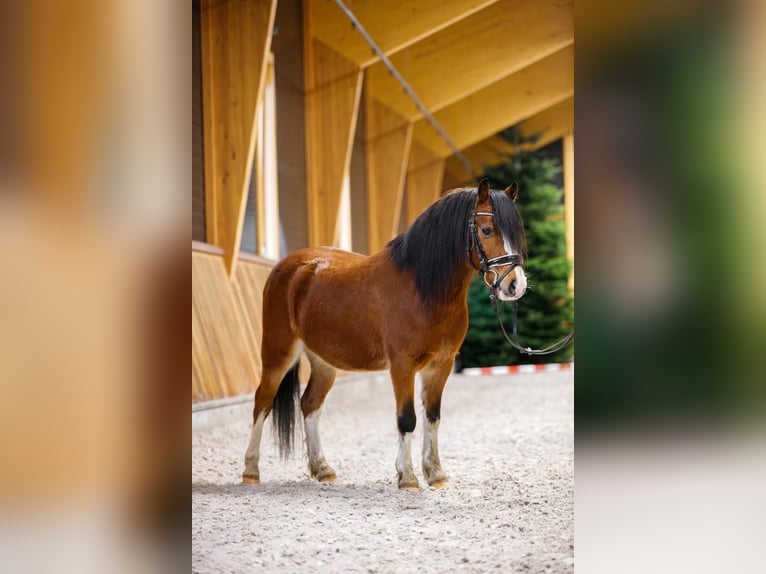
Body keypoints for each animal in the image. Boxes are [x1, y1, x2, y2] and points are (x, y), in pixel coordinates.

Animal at [244, 180, 528, 490]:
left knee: (310, 404)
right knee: (262, 401)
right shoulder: (402, 366)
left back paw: (323, 469)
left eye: (518, 231)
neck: (424, 290)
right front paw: (408, 478)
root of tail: (287, 267)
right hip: (278, 352)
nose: (516, 285)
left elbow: (432, 417)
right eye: (487, 230)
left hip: (323, 362)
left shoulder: (441, 365)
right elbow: (407, 419)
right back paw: (251, 471)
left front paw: (436, 474)